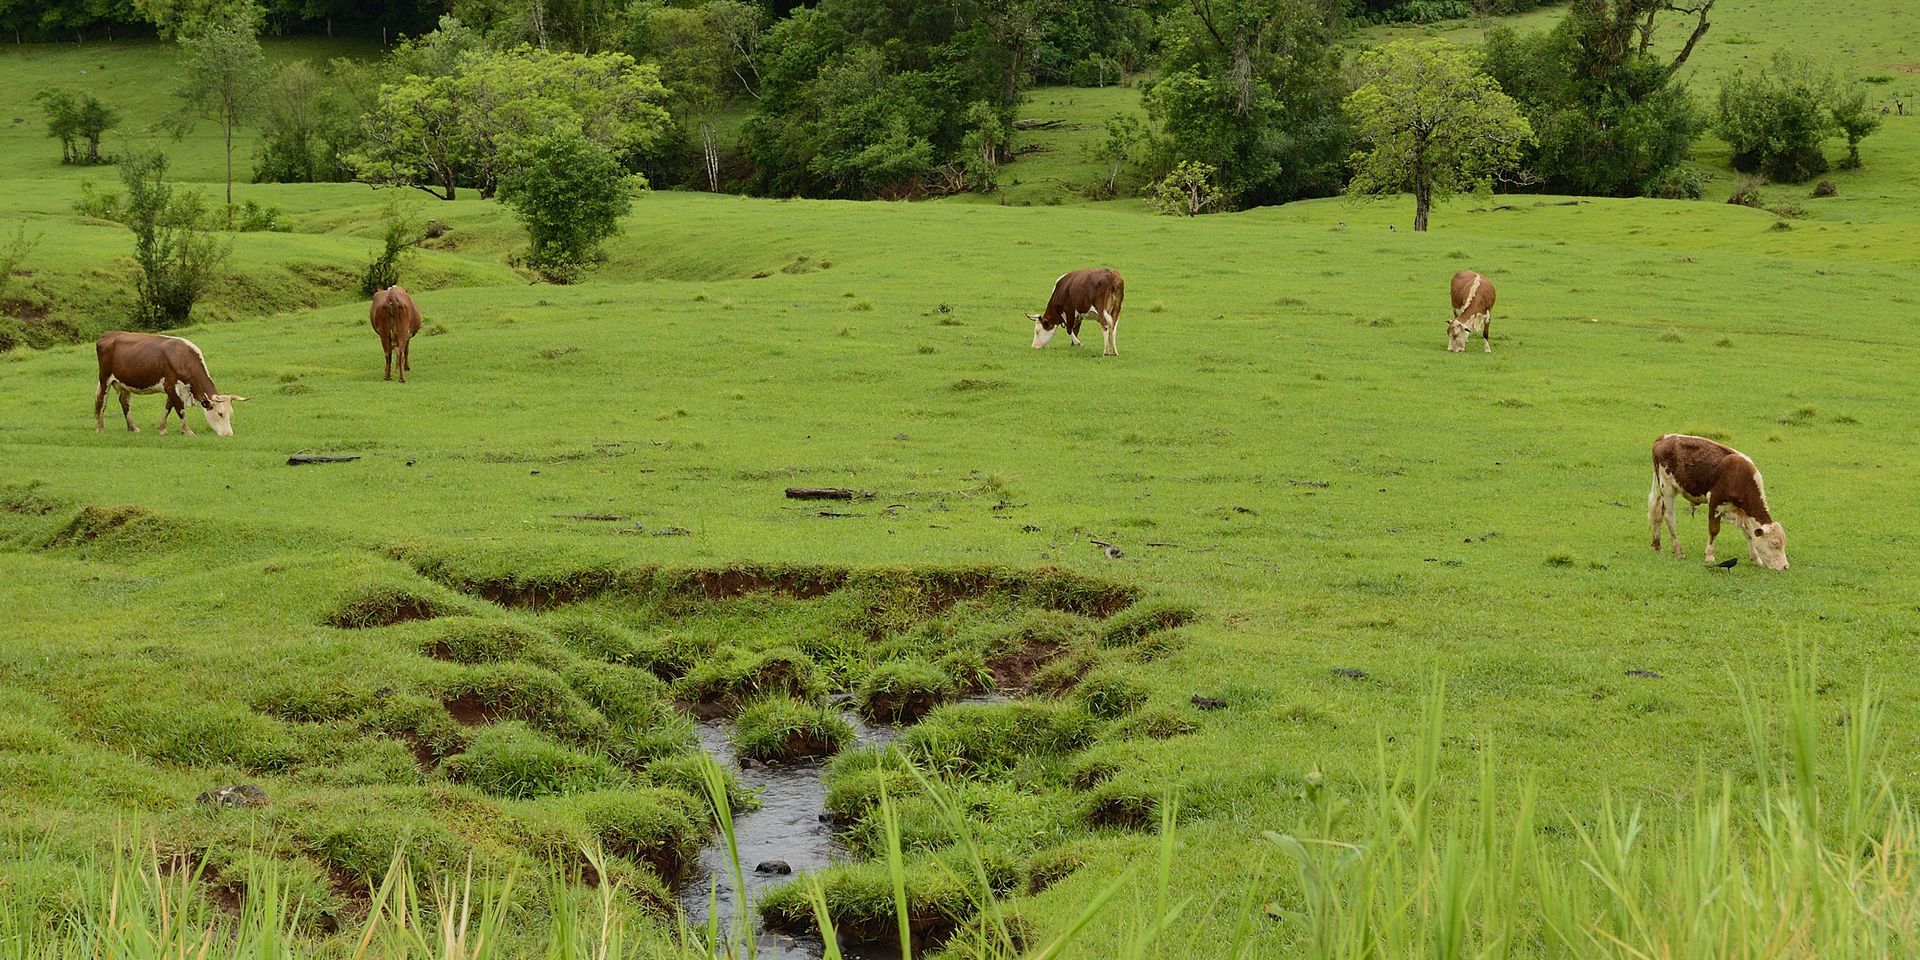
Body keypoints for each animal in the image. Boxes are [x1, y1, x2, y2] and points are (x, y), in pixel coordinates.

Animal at [93, 332, 246, 436]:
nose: (228, 434)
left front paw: (162, 429)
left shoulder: (175, 388)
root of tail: (108, 334)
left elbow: (168, 407)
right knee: (102, 401)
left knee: (124, 403)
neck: (182, 358)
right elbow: (180, 409)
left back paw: (133, 428)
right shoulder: (170, 386)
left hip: (124, 382)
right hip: (105, 378)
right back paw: (100, 428)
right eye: (220, 413)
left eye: (231, 414)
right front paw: (187, 431)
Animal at [1648, 434, 1789, 570]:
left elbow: (1749, 534)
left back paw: (1657, 546)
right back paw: (1678, 551)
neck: (1739, 476)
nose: (1785, 566)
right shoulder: (1715, 501)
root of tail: (1664, 437)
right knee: (1669, 516)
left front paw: (1756, 559)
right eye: (1775, 544)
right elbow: (1714, 530)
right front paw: (1710, 557)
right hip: (1667, 487)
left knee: (1657, 512)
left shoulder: (1741, 512)